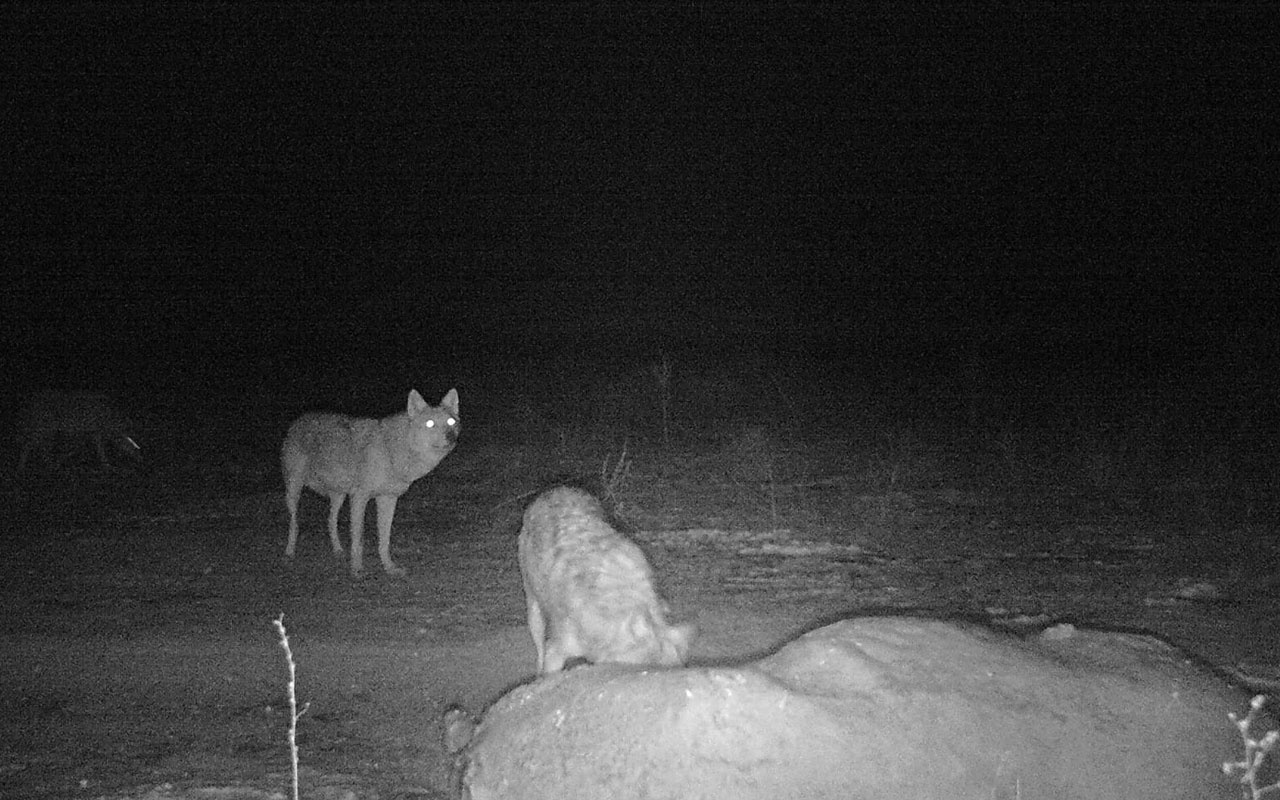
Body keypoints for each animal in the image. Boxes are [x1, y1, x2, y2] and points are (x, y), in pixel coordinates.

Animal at [284, 386, 460, 573]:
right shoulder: (359, 498)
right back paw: (289, 552)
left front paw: (389, 568)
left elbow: (384, 539)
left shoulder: (388, 499)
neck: (391, 451)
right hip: (294, 492)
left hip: (339, 496)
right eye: (430, 424)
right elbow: (358, 538)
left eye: (451, 421)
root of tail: (298, 421)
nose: (451, 437)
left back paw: (338, 550)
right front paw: (357, 570)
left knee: (330, 521)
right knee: (294, 524)